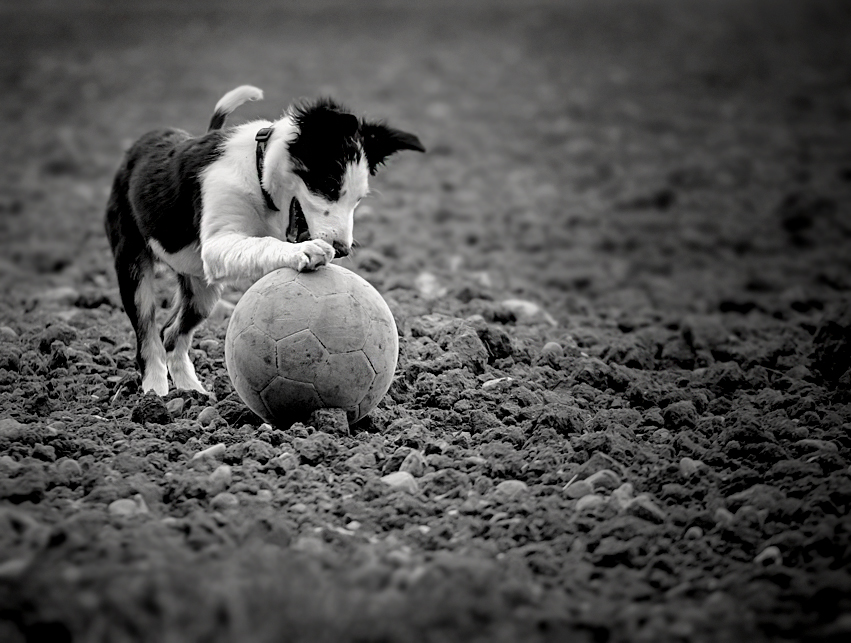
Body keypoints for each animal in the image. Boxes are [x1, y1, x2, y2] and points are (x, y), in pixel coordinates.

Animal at [106, 85, 426, 398]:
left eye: (358, 200)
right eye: (330, 185)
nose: (343, 250)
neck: (257, 171)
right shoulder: (216, 245)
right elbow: (265, 244)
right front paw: (307, 251)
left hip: (201, 293)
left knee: (171, 333)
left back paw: (190, 391)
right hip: (133, 262)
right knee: (148, 332)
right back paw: (155, 392)